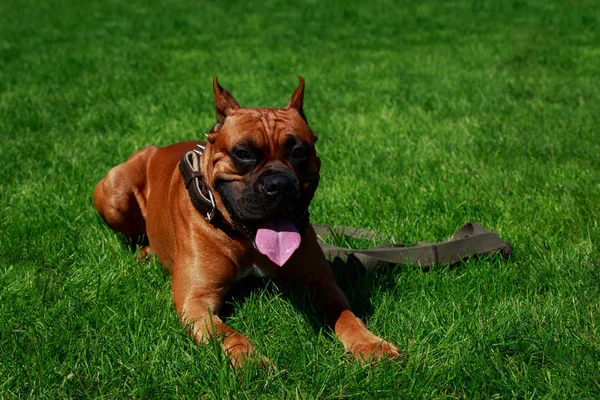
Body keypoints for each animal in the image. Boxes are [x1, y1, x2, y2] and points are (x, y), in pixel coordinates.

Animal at [92, 76, 398, 368]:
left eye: (299, 152)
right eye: (243, 154)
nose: (280, 185)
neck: (247, 239)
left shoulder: (320, 283)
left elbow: (345, 315)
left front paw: (370, 344)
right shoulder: (196, 301)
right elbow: (228, 334)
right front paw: (250, 360)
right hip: (115, 191)